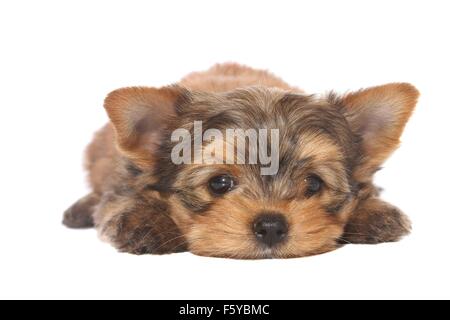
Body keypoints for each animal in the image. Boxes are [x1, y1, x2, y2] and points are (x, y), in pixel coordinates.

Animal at [62, 63, 418, 258]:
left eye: (314, 184)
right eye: (219, 183)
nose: (271, 226)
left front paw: (374, 213)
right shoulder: (125, 178)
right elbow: (121, 198)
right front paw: (145, 220)